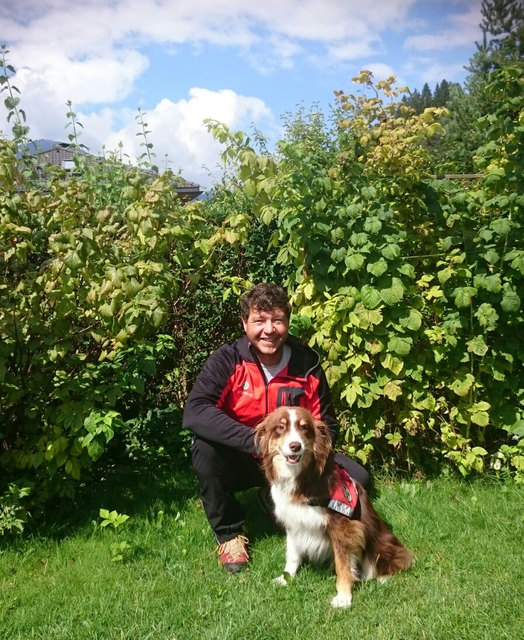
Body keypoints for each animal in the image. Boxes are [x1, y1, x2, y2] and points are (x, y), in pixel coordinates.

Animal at [255, 408, 414, 608]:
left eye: (304, 428)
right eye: (280, 427)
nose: (295, 446)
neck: (301, 480)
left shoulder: (343, 526)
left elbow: (343, 564)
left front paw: (344, 597)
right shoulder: (293, 522)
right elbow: (292, 554)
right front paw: (286, 578)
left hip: (379, 542)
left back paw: (383, 578)